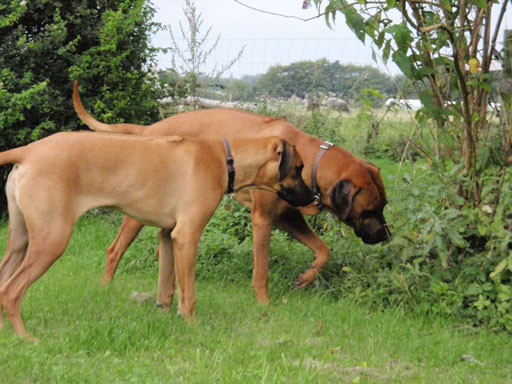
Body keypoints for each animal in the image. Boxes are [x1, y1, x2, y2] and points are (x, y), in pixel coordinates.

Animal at [0, 131, 312, 340]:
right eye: (298, 168)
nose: (313, 198)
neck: (225, 159)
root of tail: (28, 151)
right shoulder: (187, 236)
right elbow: (188, 294)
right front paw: (192, 327)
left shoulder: (167, 235)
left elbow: (166, 288)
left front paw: (163, 316)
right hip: (50, 241)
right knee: (11, 291)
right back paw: (25, 337)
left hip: (20, 240)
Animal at [74, 79, 390, 304]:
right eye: (370, 210)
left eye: (384, 205)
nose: (386, 237)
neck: (312, 160)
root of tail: (150, 129)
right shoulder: (263, 220)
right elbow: (261, 272)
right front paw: (264, 304)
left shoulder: (289, 216)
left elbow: (324, 250)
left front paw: (306, 276)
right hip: (139, 211)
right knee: (114, 250)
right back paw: (106, 289)